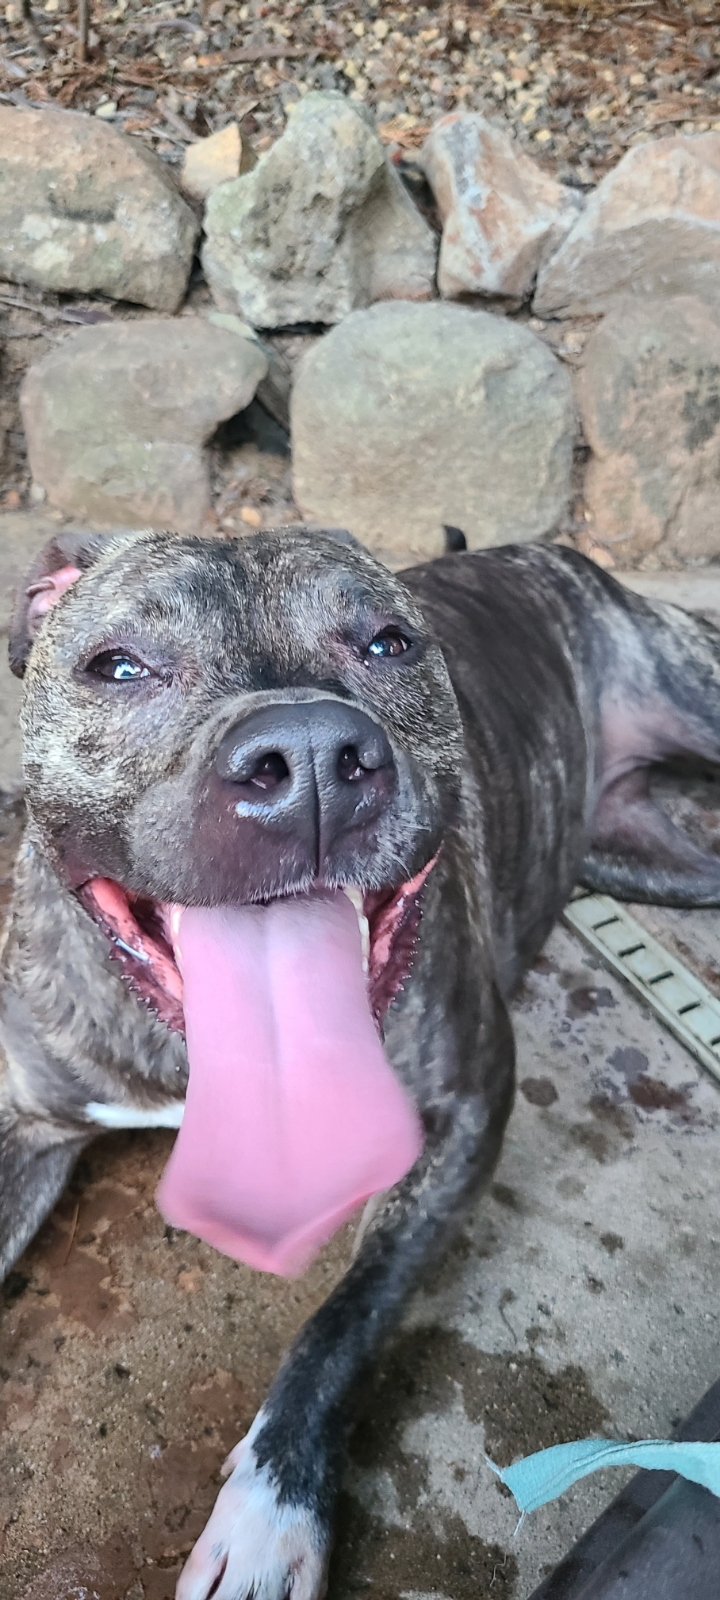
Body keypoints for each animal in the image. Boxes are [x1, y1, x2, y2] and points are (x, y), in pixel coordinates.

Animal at [2, 523, 720, 1600]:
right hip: (652, 861)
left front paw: (269, 1515)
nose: (306, 753)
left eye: (389, 644)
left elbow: (345, 1316)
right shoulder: (23, 1122)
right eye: (118, 666)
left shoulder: (465, 1108)